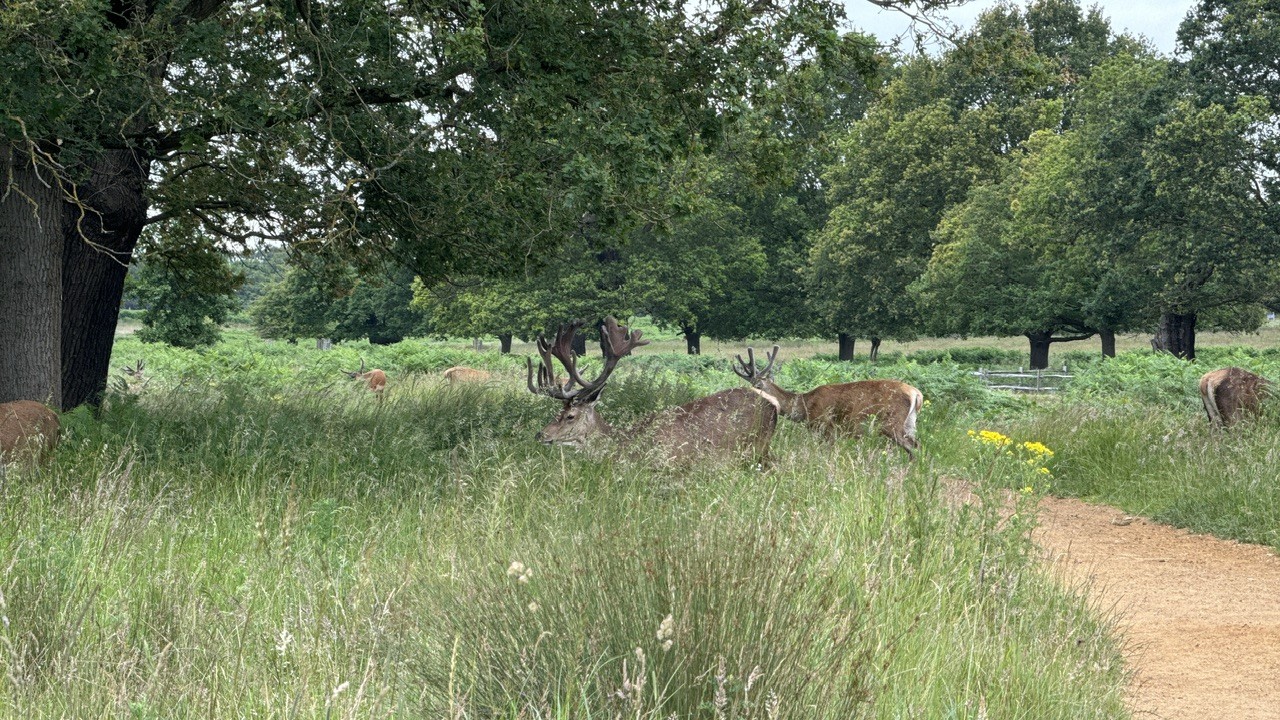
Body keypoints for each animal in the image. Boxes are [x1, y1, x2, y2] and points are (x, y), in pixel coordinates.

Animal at [732, 345, 921, 456]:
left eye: (756, 386)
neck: (805, 407)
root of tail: (916, 394)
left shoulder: (825, 425)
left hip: (891, 421)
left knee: (911, 447)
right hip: (909, 423)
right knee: (917, 445)